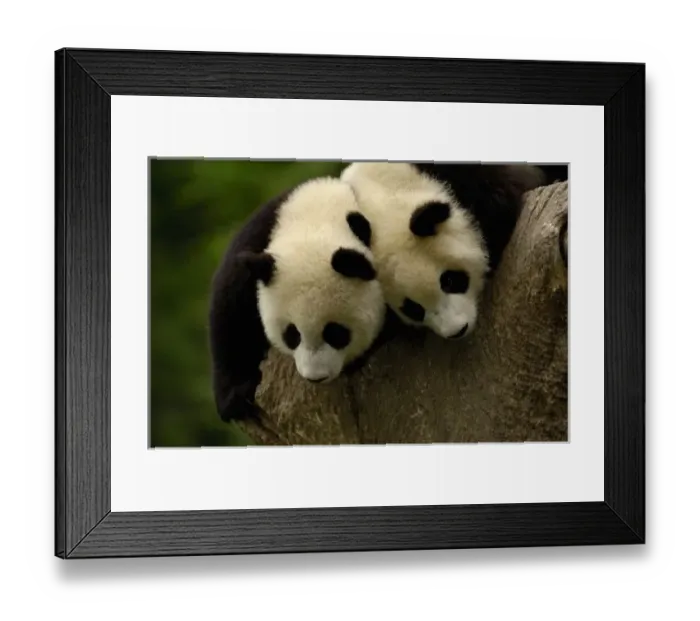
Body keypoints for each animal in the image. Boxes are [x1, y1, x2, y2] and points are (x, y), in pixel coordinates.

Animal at [208, 176, 387, 424]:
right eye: (292, 334)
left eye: (336, 332)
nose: (315, 378)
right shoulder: (259, 236)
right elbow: (230, 313)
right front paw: (236, 398)